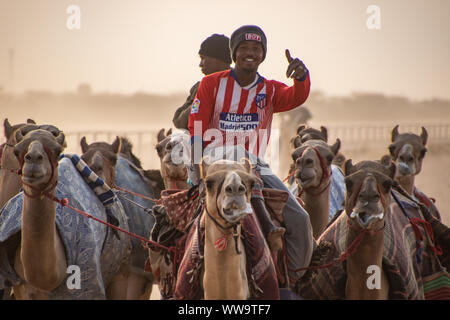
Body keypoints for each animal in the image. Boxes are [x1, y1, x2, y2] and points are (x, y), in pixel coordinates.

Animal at [0, 129, 130, 298]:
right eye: (17, 151)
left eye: (57, 150)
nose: (33, 158)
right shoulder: (22, 290)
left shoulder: (87, 288)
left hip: (120, 273)